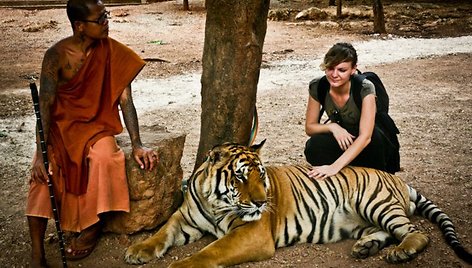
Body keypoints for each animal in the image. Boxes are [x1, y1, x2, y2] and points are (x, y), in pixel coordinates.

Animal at [125, 141, 472, 266]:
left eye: (261, 175)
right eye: (240, 177)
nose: (261, 203)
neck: (215, 203)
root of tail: (398, 179)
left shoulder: (251, 232)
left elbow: (210, 251)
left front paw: (179, 265)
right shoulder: (183, 218)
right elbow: (162, 233)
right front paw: (138, 250)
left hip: (376, 202)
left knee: (415, 232)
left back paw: (401, 252)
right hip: (366, 218)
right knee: (385, 232)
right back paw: (366, 248)